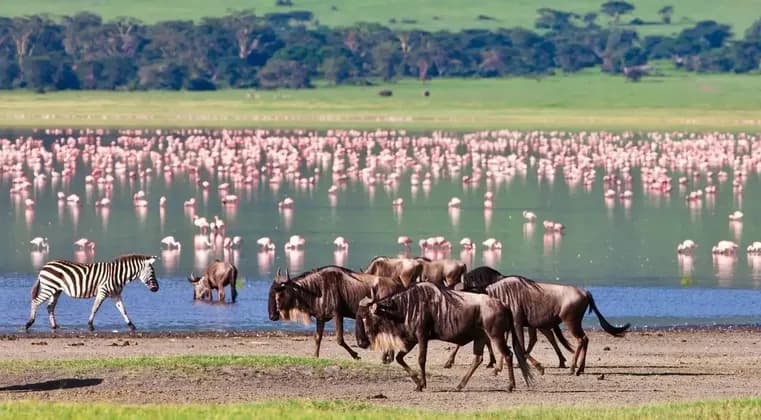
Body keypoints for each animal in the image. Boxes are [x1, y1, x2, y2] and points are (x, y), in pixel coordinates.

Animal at [24, 254, 159, 332]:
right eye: (152, 273)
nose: (157, 289)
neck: (117, 275)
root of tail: (45, 266)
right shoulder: (103, 291)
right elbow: (95, 308)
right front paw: (90, 326)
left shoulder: (115, 294)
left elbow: (123, 310)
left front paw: (131, 325)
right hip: (49, 288)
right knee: (35, 301)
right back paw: (28, 323)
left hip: (56, 290)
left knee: (50, 307)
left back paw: (54, 326)